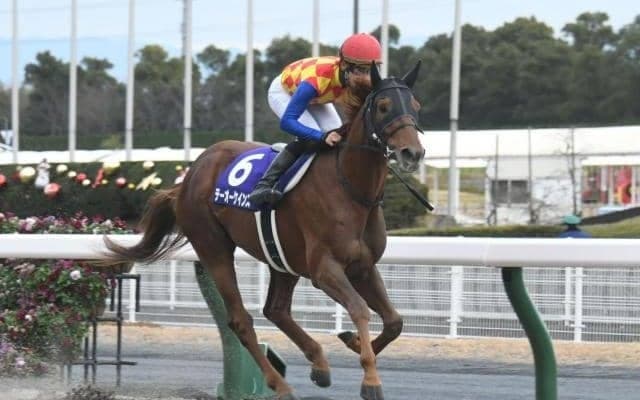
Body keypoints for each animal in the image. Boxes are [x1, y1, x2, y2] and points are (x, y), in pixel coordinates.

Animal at [103, 61, 425, 400]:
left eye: (416, 106)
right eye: (384, 106)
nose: (412, 153)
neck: (350, 187)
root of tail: (188, 177)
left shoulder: (364, 266)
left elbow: (394, 321)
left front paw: (354, 342)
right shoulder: (324, 269)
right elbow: (360, 309)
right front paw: (371, 380)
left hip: (282, 257)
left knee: (276, 309)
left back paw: (319, 364)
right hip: (213, 248)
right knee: (241, 320)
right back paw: (280, 384)